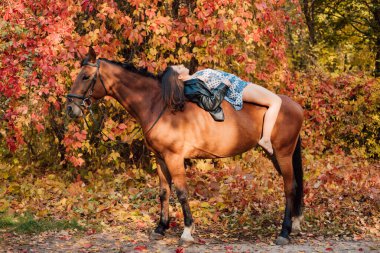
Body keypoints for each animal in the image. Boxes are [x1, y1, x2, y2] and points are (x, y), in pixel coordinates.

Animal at [65, 47, 302, 245]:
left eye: (85, 76)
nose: (70, 108)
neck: (160, 105)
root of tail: (294, 105)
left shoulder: (174, 157)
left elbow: (181, 192)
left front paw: (187, 231)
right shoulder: (160, 158)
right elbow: (164, 192)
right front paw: (160, 228)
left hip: (282, 153)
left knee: (289, 187)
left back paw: (284, 232)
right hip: (276, 155)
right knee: (295, 185)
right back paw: (296, 225)